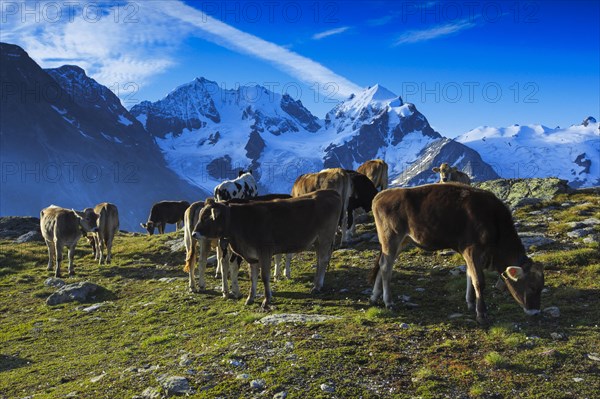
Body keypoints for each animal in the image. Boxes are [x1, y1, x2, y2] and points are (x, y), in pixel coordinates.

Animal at [192, 191, 342, 310]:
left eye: (205, 218)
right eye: (200, 216)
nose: (194, 234)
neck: (239, 222)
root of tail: (330, 192)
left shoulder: (265, 252)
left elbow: (264, 277)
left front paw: (266, 300)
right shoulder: (251, 256)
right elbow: (253, 277)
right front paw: (250, 298)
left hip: (325, 237)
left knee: (323, 260)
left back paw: (317, 286)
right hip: (318, 241)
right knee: (319, 260)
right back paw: (317, 284)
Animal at [370, 184, 544, 324]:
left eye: (542, 287)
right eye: (532, 286)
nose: (535, 312)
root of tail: (381, 195)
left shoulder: (470, 254)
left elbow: (469, 275)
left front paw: (471, 303)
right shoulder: (472, 250)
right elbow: (478, 281)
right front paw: (481, 314)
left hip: (403, 240)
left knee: (384, 263)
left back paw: (374, 296)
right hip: (391, 236)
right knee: (385, 266)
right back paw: (388, 301)